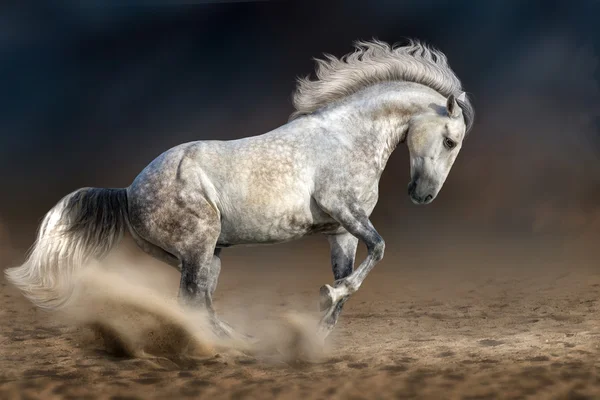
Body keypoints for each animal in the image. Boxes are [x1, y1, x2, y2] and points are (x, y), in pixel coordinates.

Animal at [4, 39, 474, 340]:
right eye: (451, 141)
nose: (423, 195)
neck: (346, 136)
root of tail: (128, 191)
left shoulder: (340, 231)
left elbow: (352, 276)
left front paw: (321, 330)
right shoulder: (344, 209)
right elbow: (377, 249)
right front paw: (326, 297)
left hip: (204, 257)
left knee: (200, 303)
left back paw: (237, 342)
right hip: (198, 247)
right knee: (189, 303)